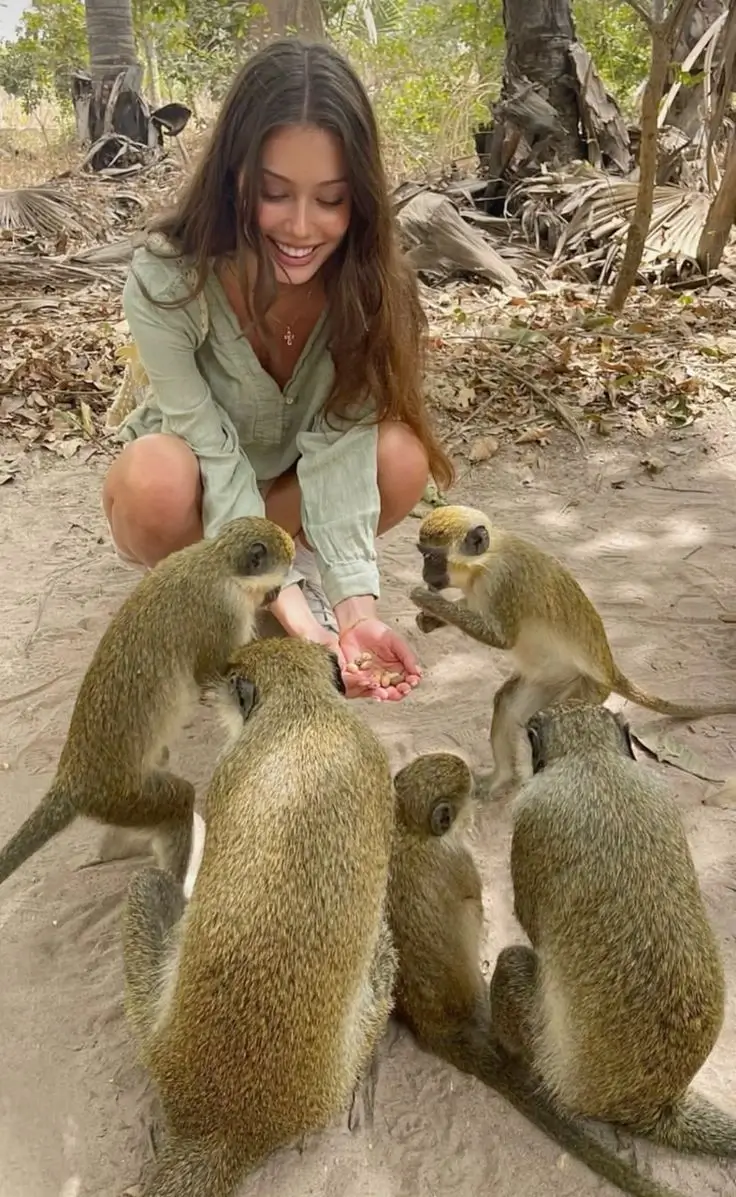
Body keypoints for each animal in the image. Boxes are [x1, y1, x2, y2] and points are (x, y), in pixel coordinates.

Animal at [0, 516, 294, 890]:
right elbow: (208, 676)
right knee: (178, 798)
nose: (277, 593)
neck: (219, 563)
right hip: (121, 796)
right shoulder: (223, 611)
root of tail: (72, 779)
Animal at [386, 751, 685, 1197]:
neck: (409, 830)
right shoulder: (458, 860)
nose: (478, 792)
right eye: (466, 792)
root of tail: (432, 1026)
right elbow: (473, 898)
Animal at [409, 504, 736, 797]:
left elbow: (502, 639)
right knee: (507, 705)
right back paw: (500, 779)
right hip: (548, 681)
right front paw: (429, 619)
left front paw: (425, 599)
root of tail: (609, 668)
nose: (425, 573)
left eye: (430, 556)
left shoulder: (504, 583)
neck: (484, 563)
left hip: (586, 688)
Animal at [490, 700, 736, 1163]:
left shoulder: (532, 811)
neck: (593, 758)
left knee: (512, 963)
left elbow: (530, 920)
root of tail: (656, 1105)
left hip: (551, 1061)